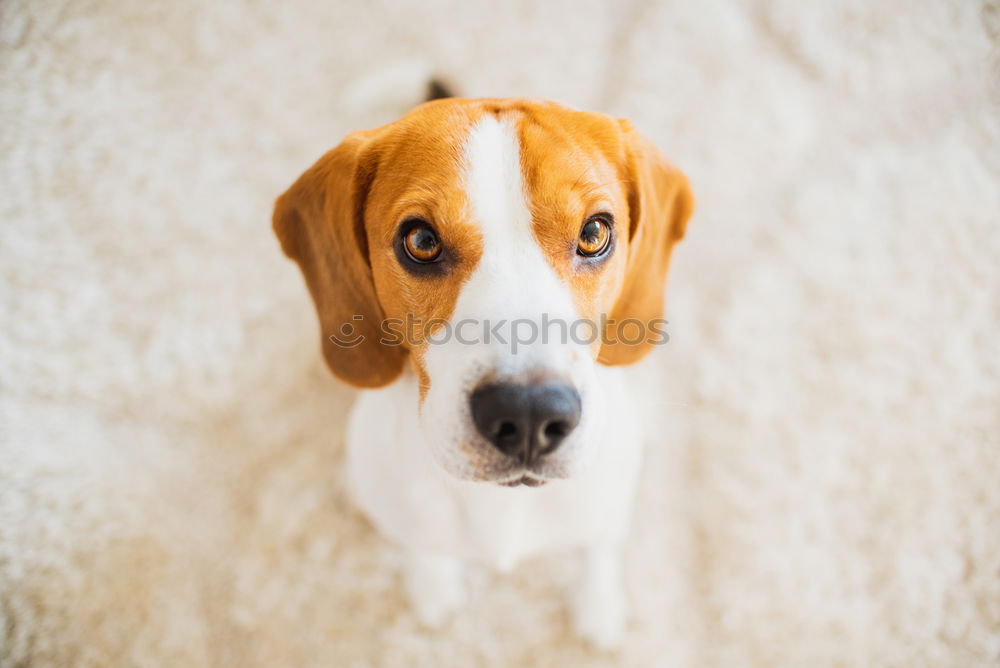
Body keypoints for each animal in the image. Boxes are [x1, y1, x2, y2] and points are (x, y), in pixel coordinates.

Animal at [274, 92, 696, 648]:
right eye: (421, 241)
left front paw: (600, 608)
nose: (529, 415)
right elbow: (423, 548)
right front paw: (432, 588)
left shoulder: (605, 510)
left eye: (594, 232)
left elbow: (599, 551)